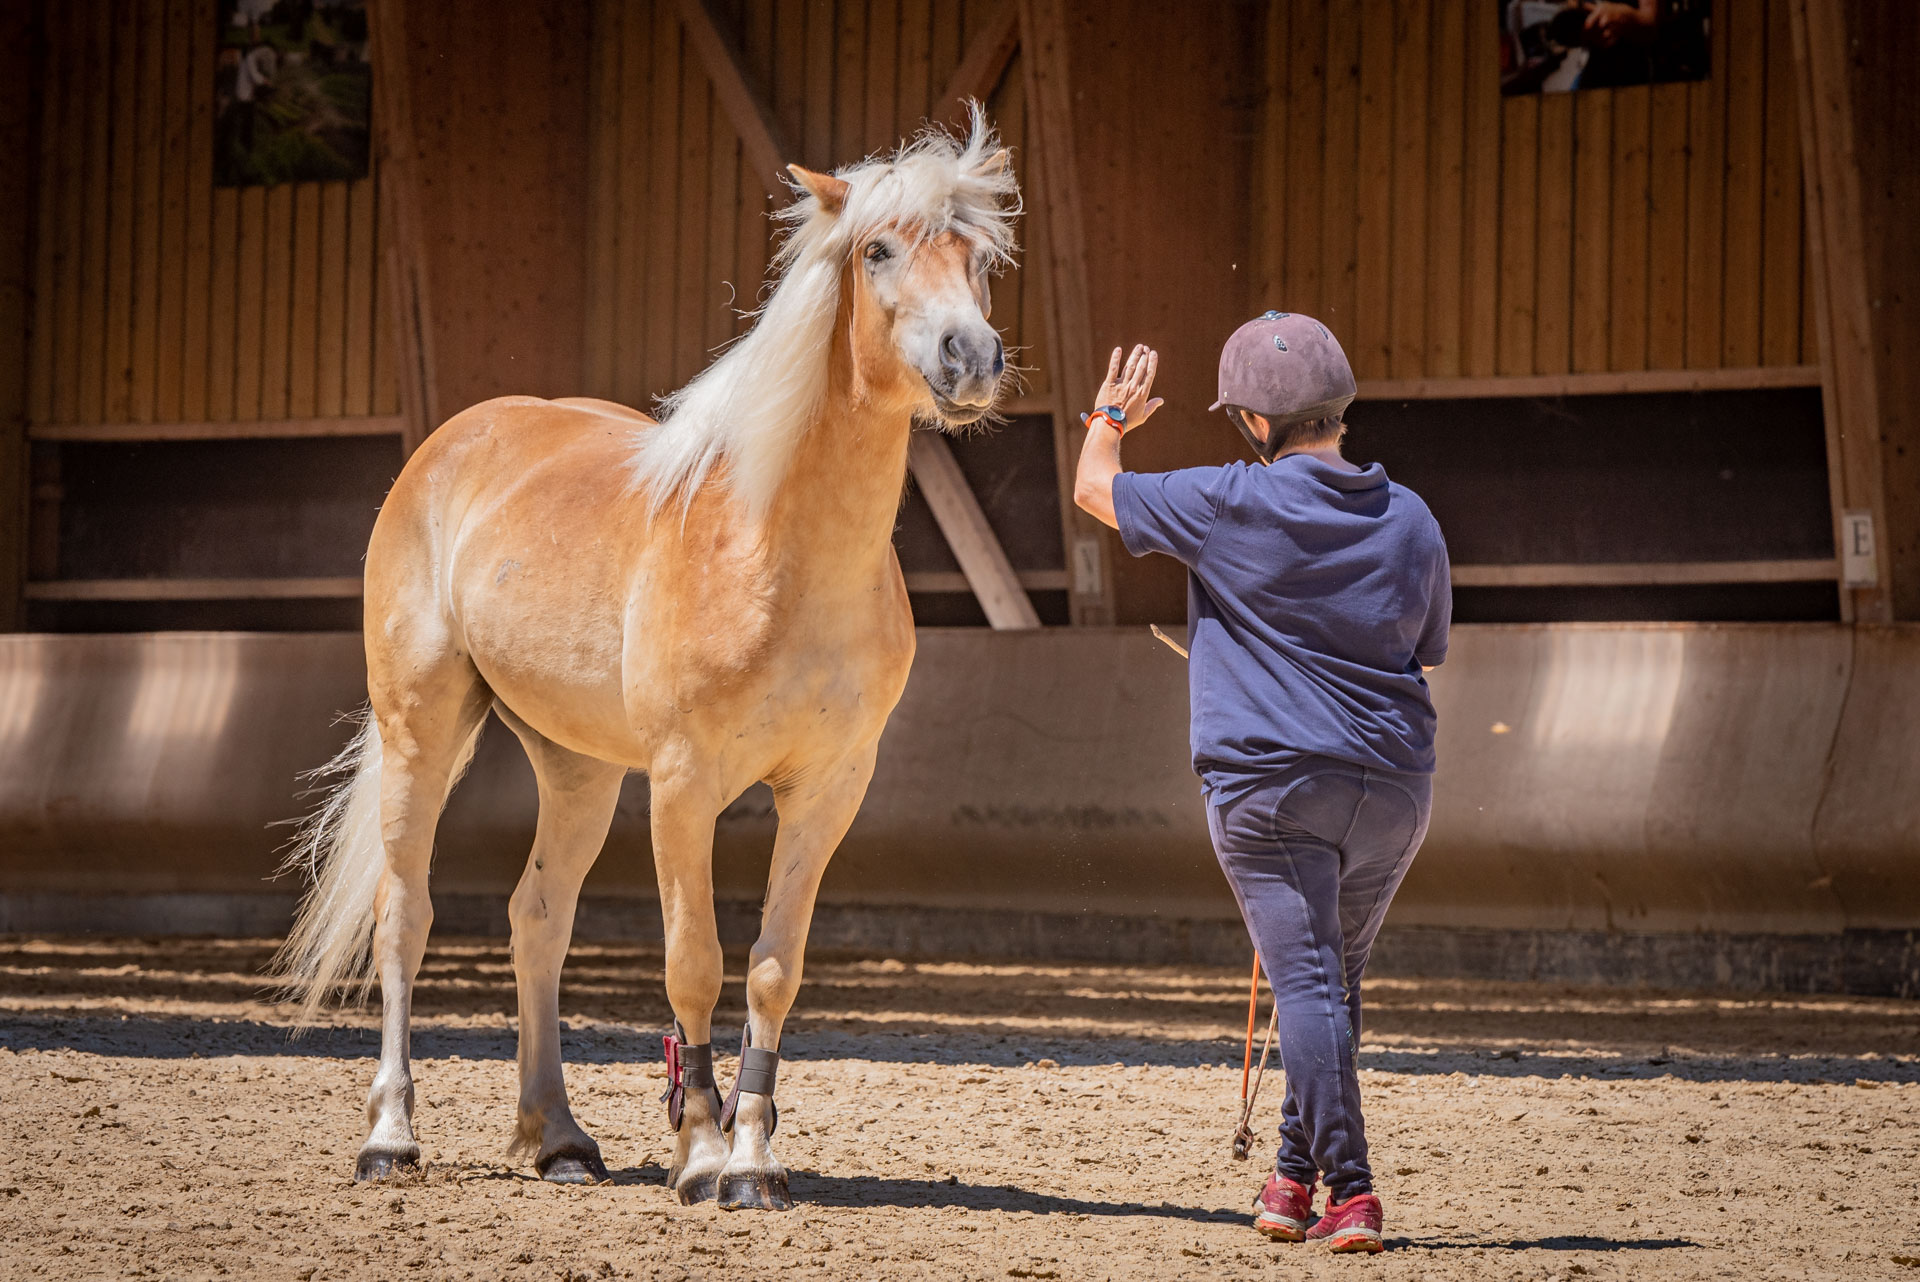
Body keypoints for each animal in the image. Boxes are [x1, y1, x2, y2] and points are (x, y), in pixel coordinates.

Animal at [272, 112, 1019, 1211]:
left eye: (979, 258)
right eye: (879, 250)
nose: (971, 356)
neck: (777, 556)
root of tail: (456, 441)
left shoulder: (830, 791)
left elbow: (772, 968)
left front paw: (754, 1161)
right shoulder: (682, 784)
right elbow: (693, 963)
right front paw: (703, 1155)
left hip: (577, 768)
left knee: (538, 918)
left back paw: (559, 1139)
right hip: (422, 725)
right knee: (404, 914)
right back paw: (390, 1139)